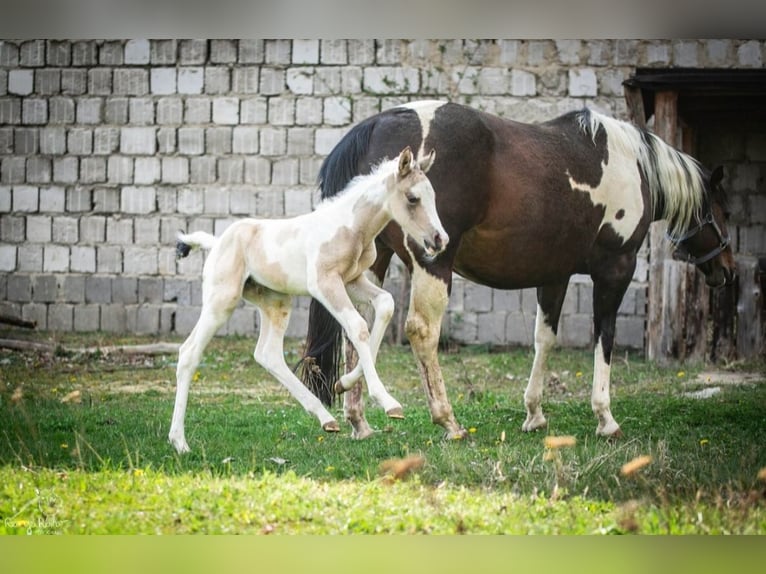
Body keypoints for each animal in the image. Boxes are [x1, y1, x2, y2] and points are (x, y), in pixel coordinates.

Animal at [168, 146, 447, 453]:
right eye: (412, 198)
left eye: (433, 195)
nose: (439, 239)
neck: (351, 228)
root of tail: (216, 242)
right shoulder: (325, 283)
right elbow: (357, 326)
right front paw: (387, 402)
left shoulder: (352, 280)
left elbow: (386, 305)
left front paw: (343, 383)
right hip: (221, 300)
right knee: (189, 352)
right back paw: (179, 442)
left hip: (275, 303)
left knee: (268, 354)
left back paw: (326, 418)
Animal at [299, 100, 736, 441]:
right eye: (723, 210)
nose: (728, 271)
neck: (633, 166)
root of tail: (377, 124)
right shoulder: (615, 271)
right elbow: (604, 338)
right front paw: (605, 418)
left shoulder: (554, 276)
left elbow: (544, 340)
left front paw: (534, 414)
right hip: (433, 261)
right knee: (421, 330)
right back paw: (448, 421)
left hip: (372, 262)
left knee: (360, 323)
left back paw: (358, 418)